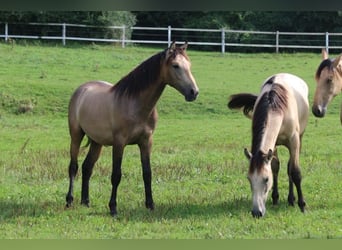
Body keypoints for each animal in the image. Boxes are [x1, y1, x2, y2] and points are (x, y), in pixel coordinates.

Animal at [65, 42, 199, 216]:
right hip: (76, 135)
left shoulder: (146, 142)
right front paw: (113, 208)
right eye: (175, 65)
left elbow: (147, 173)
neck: (135, 105)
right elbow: (116, 175)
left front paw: (150, 205)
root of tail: (82, 89)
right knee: (73, 167)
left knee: (87, 167)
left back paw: (85, 201)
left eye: (189, 65)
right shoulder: (119, 143)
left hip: (96, 142)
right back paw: (69, 200)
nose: (194, 92)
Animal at [227, 73, 310, 218]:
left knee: (290, 167)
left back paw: (292, 200)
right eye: (249, 179)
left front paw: (302, 205)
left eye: (266, 179)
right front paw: (275, 198)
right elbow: (275, 167)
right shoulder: (273, 145)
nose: (256, 212)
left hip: (300, 138)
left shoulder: (294, 141)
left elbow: (295, 172)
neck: (276, 108)